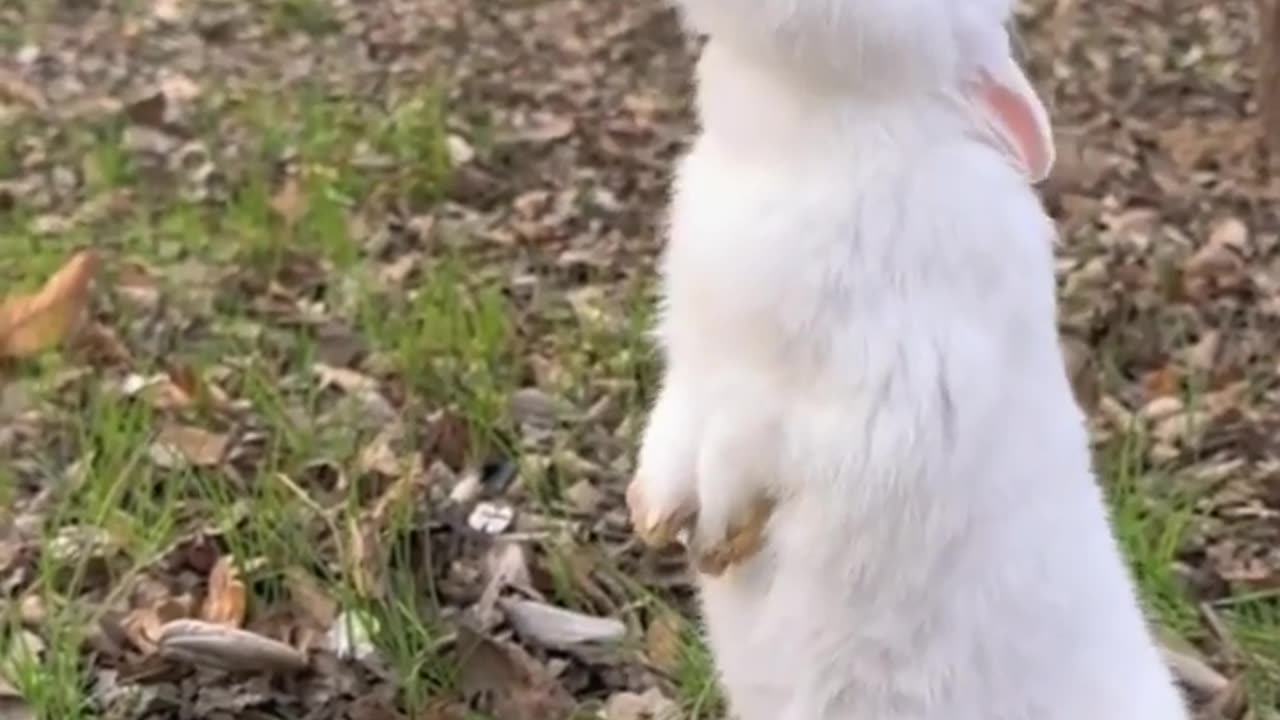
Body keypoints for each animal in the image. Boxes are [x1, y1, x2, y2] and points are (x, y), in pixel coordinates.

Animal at [624, 1, 1192, 717]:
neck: (806, 132)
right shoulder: (695, 363)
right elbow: (673, 430)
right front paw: (652, 515)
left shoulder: (864, 401)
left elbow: (751, 447)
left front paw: (720, 533)